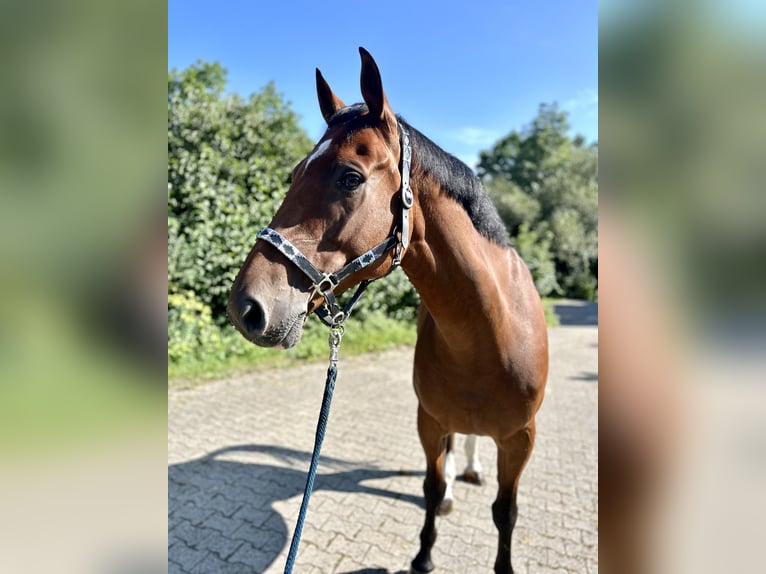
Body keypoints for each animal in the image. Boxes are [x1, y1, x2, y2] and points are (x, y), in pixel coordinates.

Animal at [230, 48, 552, 574]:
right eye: (294, 173)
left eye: (350, 177)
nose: (247, 308)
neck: (489, 334)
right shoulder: (429, 422)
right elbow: (431, 488)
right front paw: (423, 556)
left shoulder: (521, 439)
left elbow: (506, 512)